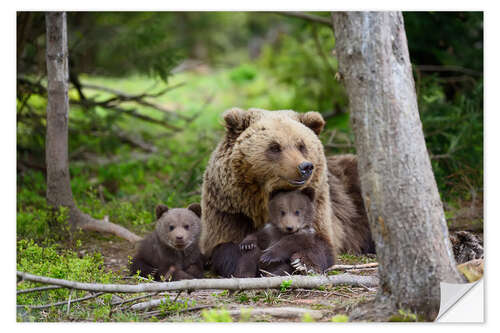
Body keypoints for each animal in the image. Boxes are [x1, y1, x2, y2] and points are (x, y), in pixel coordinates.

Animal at [199, 107, 372, 276]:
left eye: (302, 145)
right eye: (275, 147)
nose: (305, 167)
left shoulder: (317, 205)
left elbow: (321, 243)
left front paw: (302, 262)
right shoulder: (232, 210)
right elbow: (226, 246)